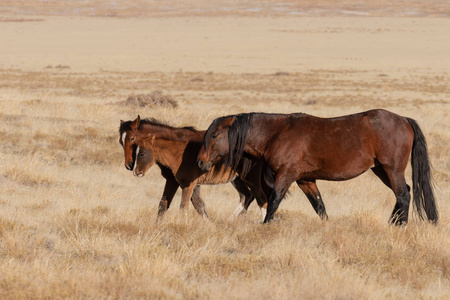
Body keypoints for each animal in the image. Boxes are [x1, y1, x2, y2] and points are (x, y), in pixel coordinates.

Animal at [118, 116, 268, 219]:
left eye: (132, 139)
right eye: (120, 141)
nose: (130, 166)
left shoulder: (184, 183)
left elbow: (192, 206)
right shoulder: (178, 182)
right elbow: (168, 205)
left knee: (257, 197)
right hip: (237, 179)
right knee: (247, 196)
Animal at [197, 109, 436, 224]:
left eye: (215, 135)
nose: (200, 161)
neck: (277, 133)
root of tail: (403, 120)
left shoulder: (286, 175)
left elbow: (273, 202)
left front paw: (266, 225)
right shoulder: (305, 179)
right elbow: (319, 206)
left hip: (391, 170)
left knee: (403, 195)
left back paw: (400, 226)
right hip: (381, 170)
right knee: (403, 193)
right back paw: (392, 222)